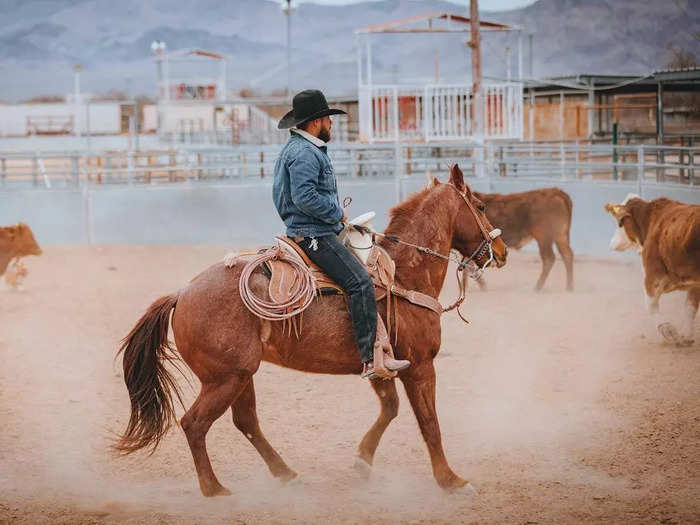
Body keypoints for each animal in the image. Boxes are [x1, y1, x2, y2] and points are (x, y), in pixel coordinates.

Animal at [116, 164, 508, 496]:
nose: (501, 251)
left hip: (239, 375)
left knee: (246, 421)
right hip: (225, 378)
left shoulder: (382, 367)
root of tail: (182, 293)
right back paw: (214, 489)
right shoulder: (421, 366)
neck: (404, 274)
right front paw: (451, 481)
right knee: (195, 424)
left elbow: (390, 409)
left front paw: (362, 462)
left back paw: (285, 473)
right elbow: (429, 424)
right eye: (481, 205)